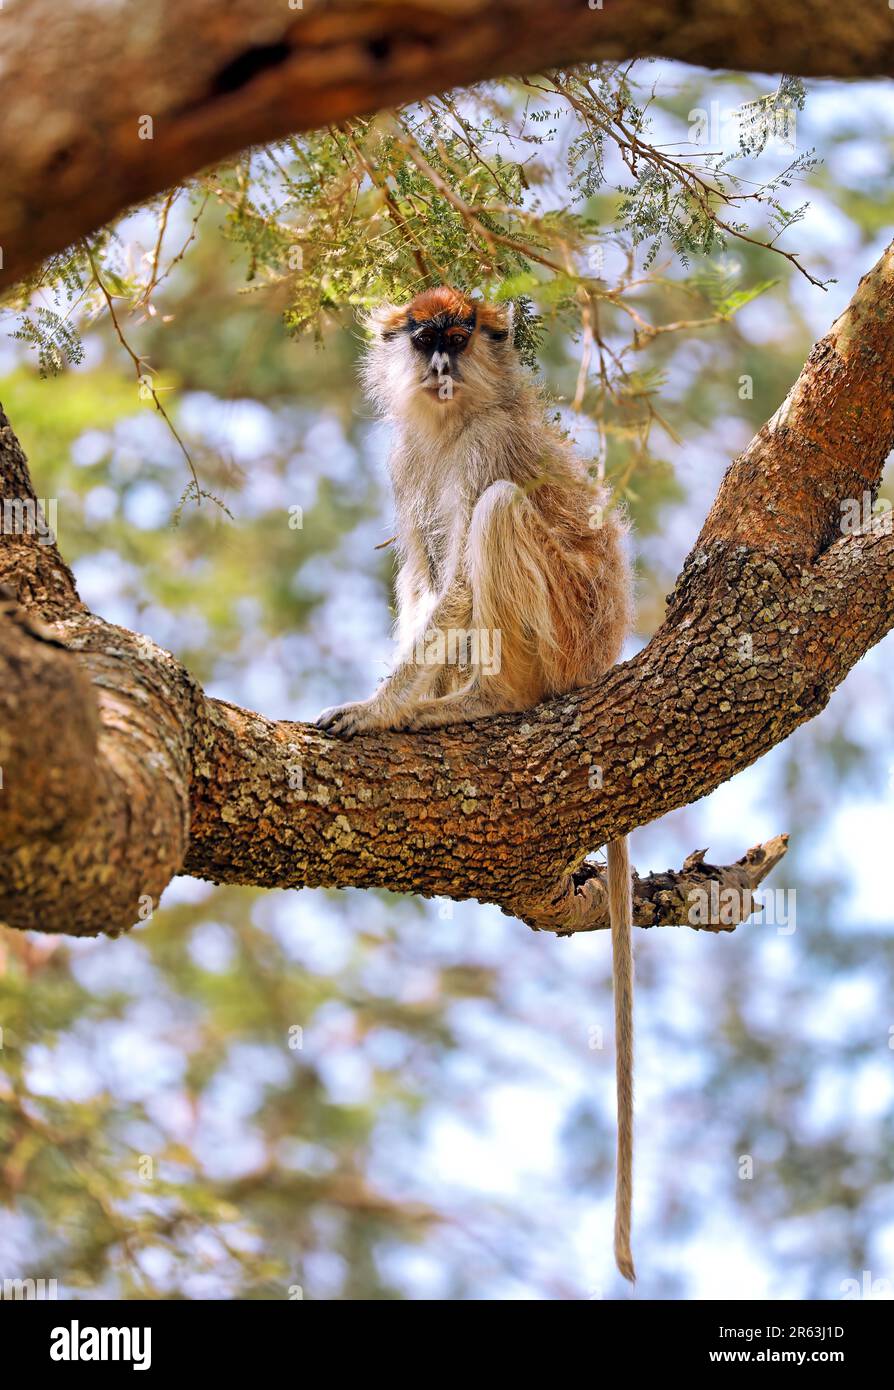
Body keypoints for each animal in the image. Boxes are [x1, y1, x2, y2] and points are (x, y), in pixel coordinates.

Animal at [318, 290, 639, 1278]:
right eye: (425, 337)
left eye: (459, 338)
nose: (439, 366)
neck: (457, 416)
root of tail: (601, 659)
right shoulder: (408, 459)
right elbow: (422, 578)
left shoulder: (487, 448)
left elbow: (459, 574)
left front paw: (383, 712)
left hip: (560, 631)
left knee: (498, 515)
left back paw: (481, 703)